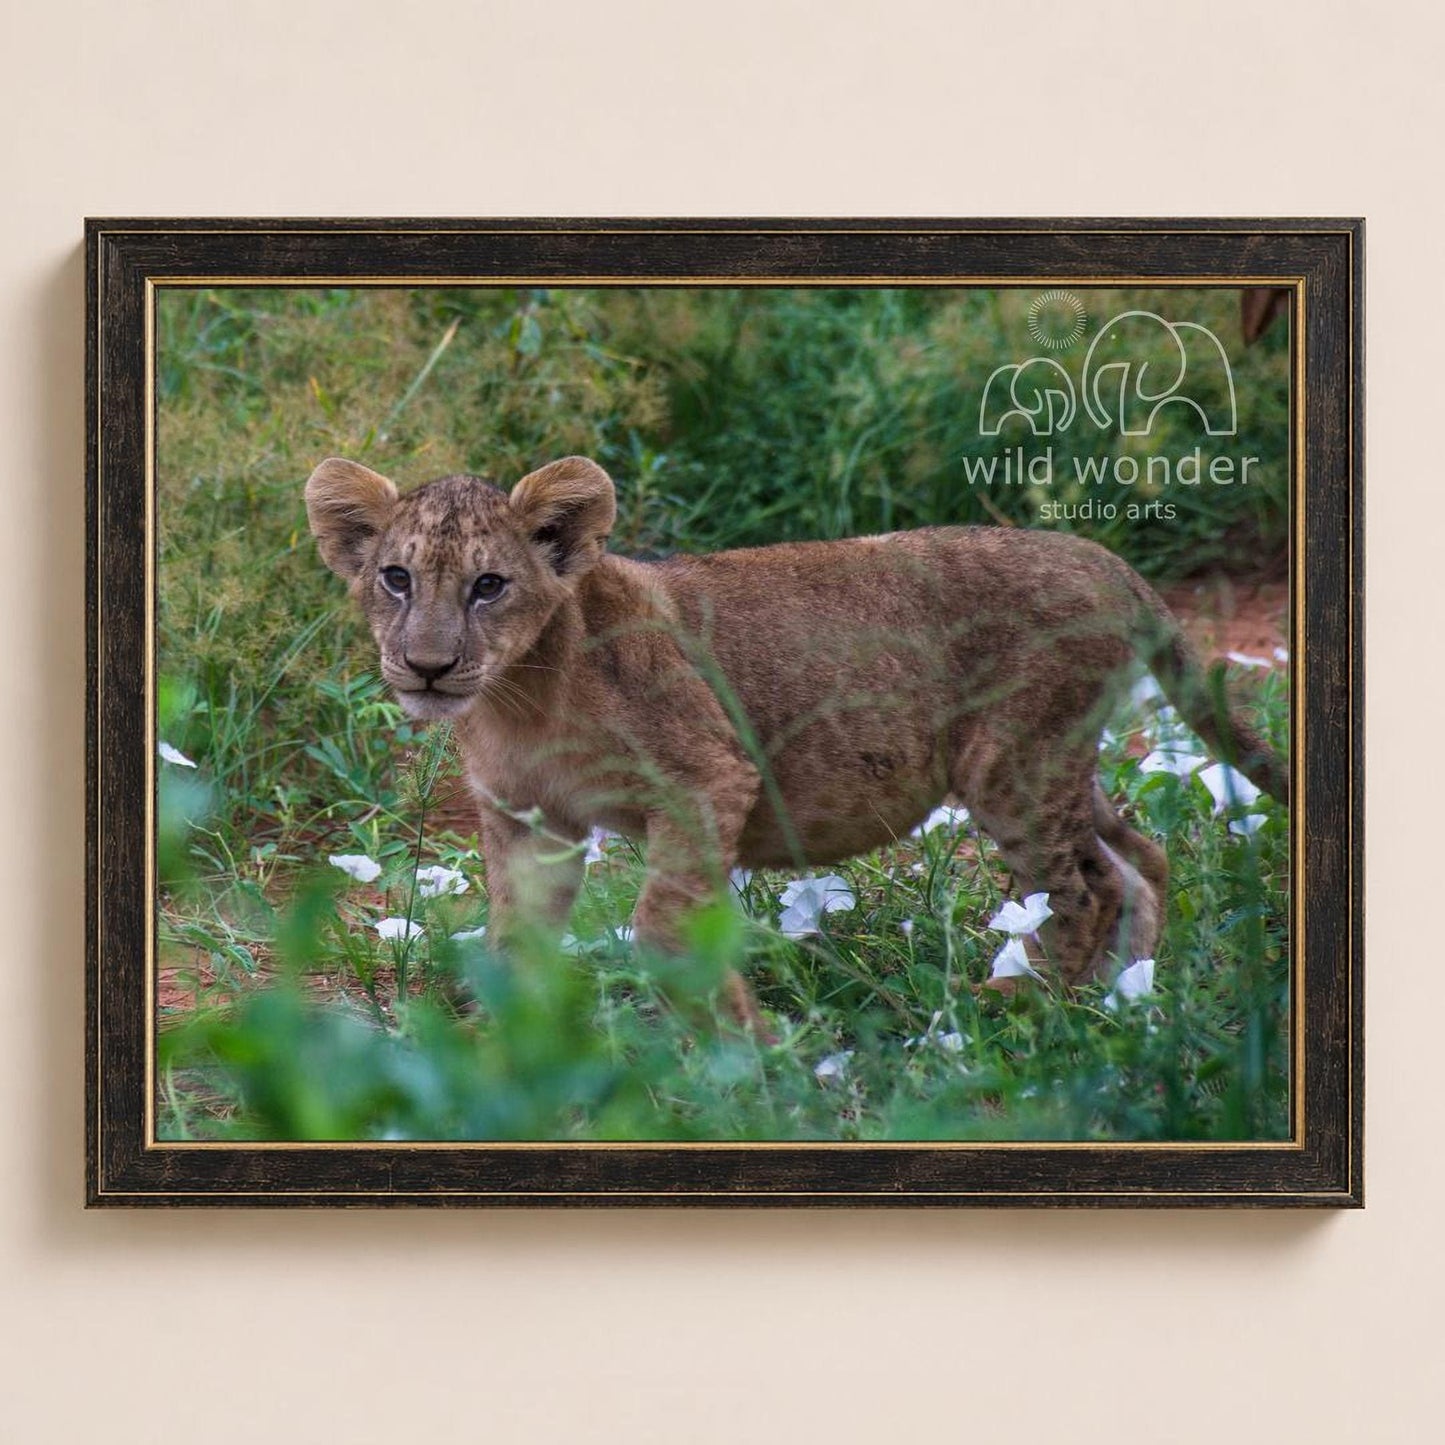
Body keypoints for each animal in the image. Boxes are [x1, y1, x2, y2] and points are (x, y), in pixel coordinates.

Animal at [306, 454, 1287, 1034]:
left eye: (488, 585)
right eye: (396, 578)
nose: (427, 666)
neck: (521, 696)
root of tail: (1104, 559)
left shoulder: (704, 777)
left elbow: (665, 923)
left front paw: (747, 1046)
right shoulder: (527, 819)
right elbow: (515, 937)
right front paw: (502, 1048)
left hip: (1012, 761)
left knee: (1080, 886)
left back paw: (1014, 1006)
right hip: (1057, 760)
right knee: (1139, 856)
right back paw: (1125, 996)